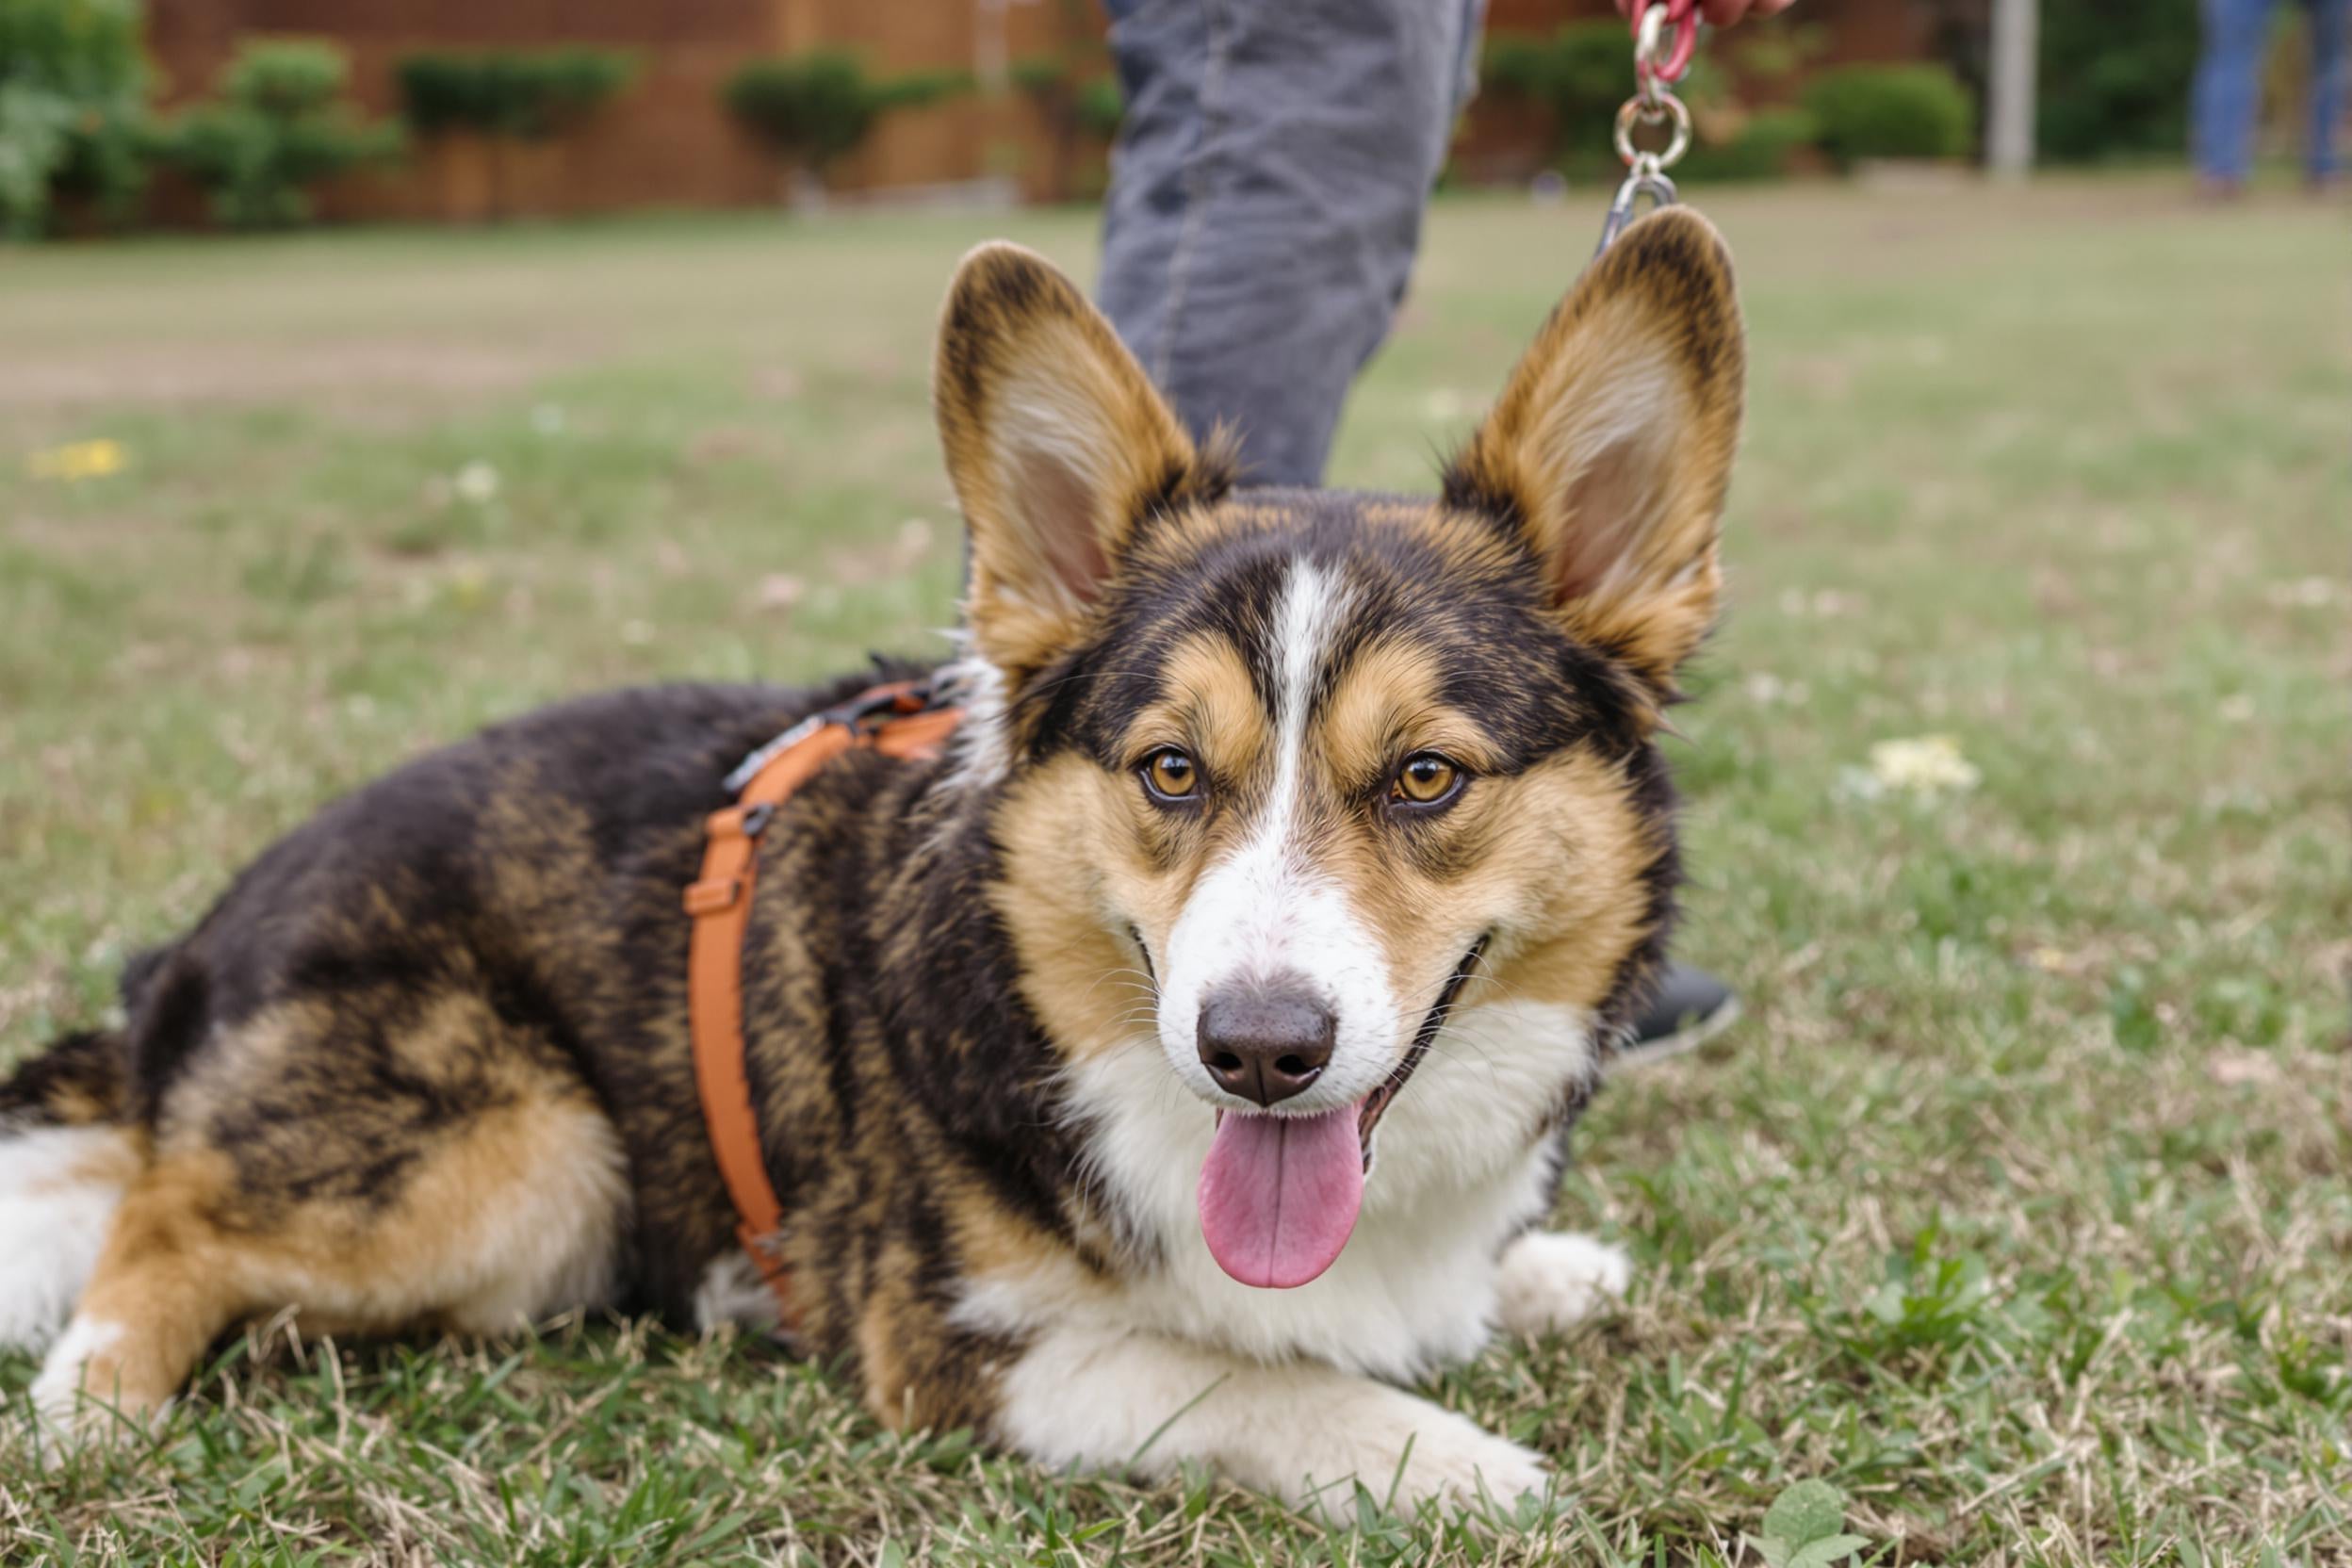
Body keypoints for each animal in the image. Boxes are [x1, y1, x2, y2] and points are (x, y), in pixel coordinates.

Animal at [0, 205, 1740, 1504]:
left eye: (1426, 775)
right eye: (1171, 770)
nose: (1256, 1051)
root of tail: (190, 951)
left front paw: (1534, 1273)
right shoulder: (964, 1349)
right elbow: (1247, 1379)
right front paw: (1446, 1457)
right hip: (533, 1158)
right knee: (164, 1219)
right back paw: (93, 1407)